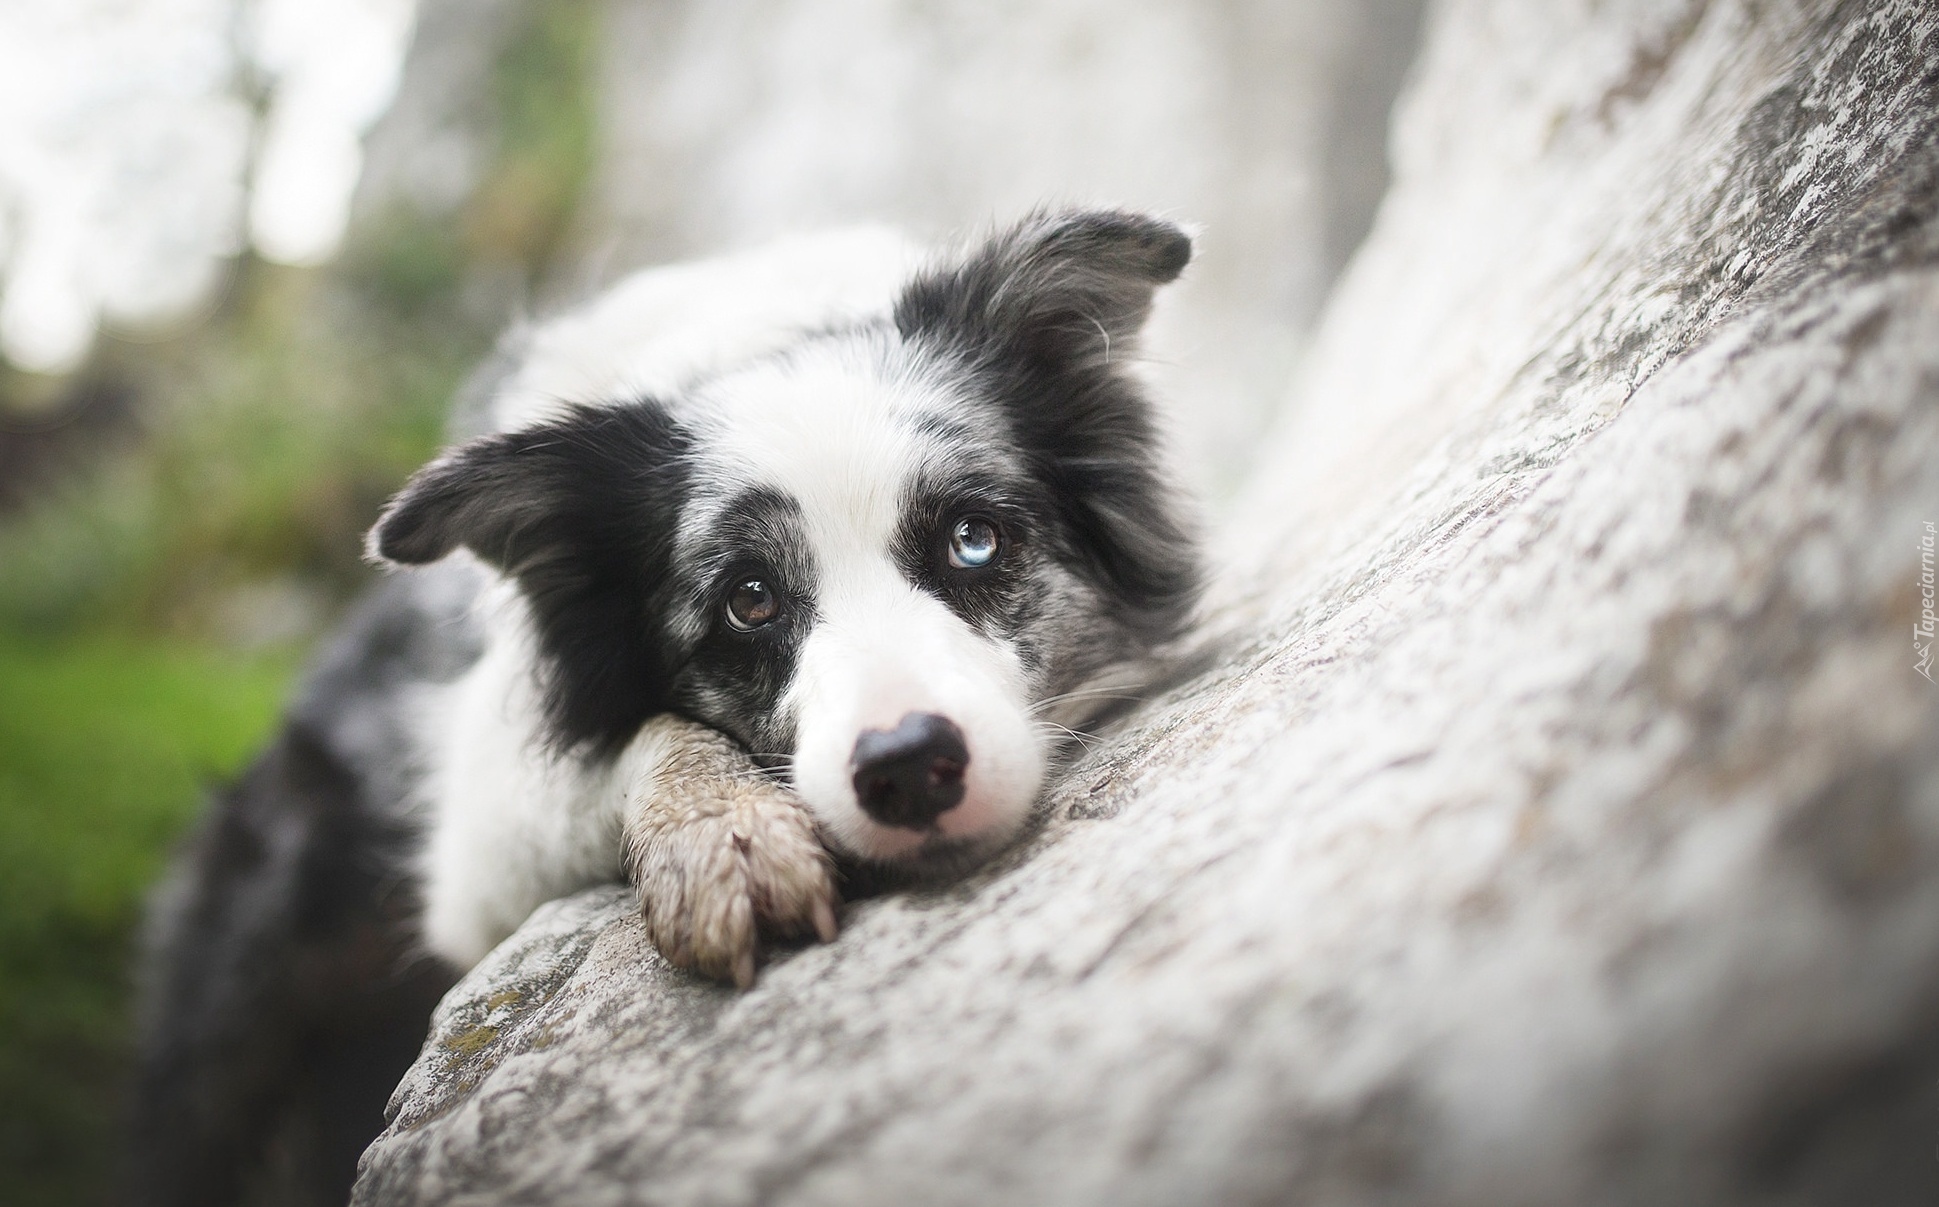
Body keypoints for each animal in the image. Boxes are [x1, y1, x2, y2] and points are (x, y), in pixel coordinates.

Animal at [128, 212, 1194, 1203]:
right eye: (748, 599)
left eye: (973, 540)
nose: (908, 767)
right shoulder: (475, 837)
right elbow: (646, 731)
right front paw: (723, 836)